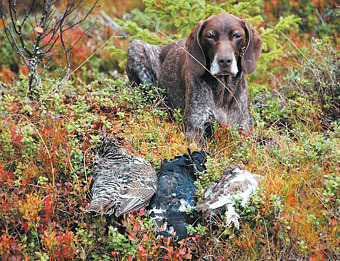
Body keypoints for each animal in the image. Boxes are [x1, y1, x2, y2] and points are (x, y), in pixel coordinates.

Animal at [126, 13, 262, 143]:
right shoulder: (194, 128)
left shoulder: (244, 130)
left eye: (237, 35)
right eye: (210, 36)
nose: (224, 61)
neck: (223, 90)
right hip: (136, 46)